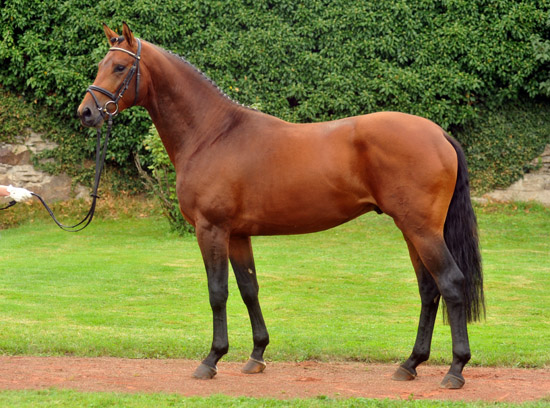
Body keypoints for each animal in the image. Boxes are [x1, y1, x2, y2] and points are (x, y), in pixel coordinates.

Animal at [78, 23, 488, 388]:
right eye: (101, 63)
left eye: (119, 66)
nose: (86, 112)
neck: (213, 134)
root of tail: (438, 133)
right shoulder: (237, 235)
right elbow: (249, 289)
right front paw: (256, 355)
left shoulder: (211, 229)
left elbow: (217, 292)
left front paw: (211, 359)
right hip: (412, 231)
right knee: (429, 290)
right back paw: (410, 364)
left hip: (422, 230)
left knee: (451, 283)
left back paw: (455, 371)